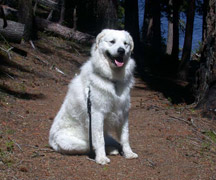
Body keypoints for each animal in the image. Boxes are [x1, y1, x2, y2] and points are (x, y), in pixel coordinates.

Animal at [49, 28, 138, 165]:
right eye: (112, 42)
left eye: (125, 44)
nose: (121, 51)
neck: (113, 80)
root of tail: (50, 141)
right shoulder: (97, 114)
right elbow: (99, 139)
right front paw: (101, 158)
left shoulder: (123, 113)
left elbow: (125, 137)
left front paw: (129, 153)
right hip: (70, 142)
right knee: (89, 145)